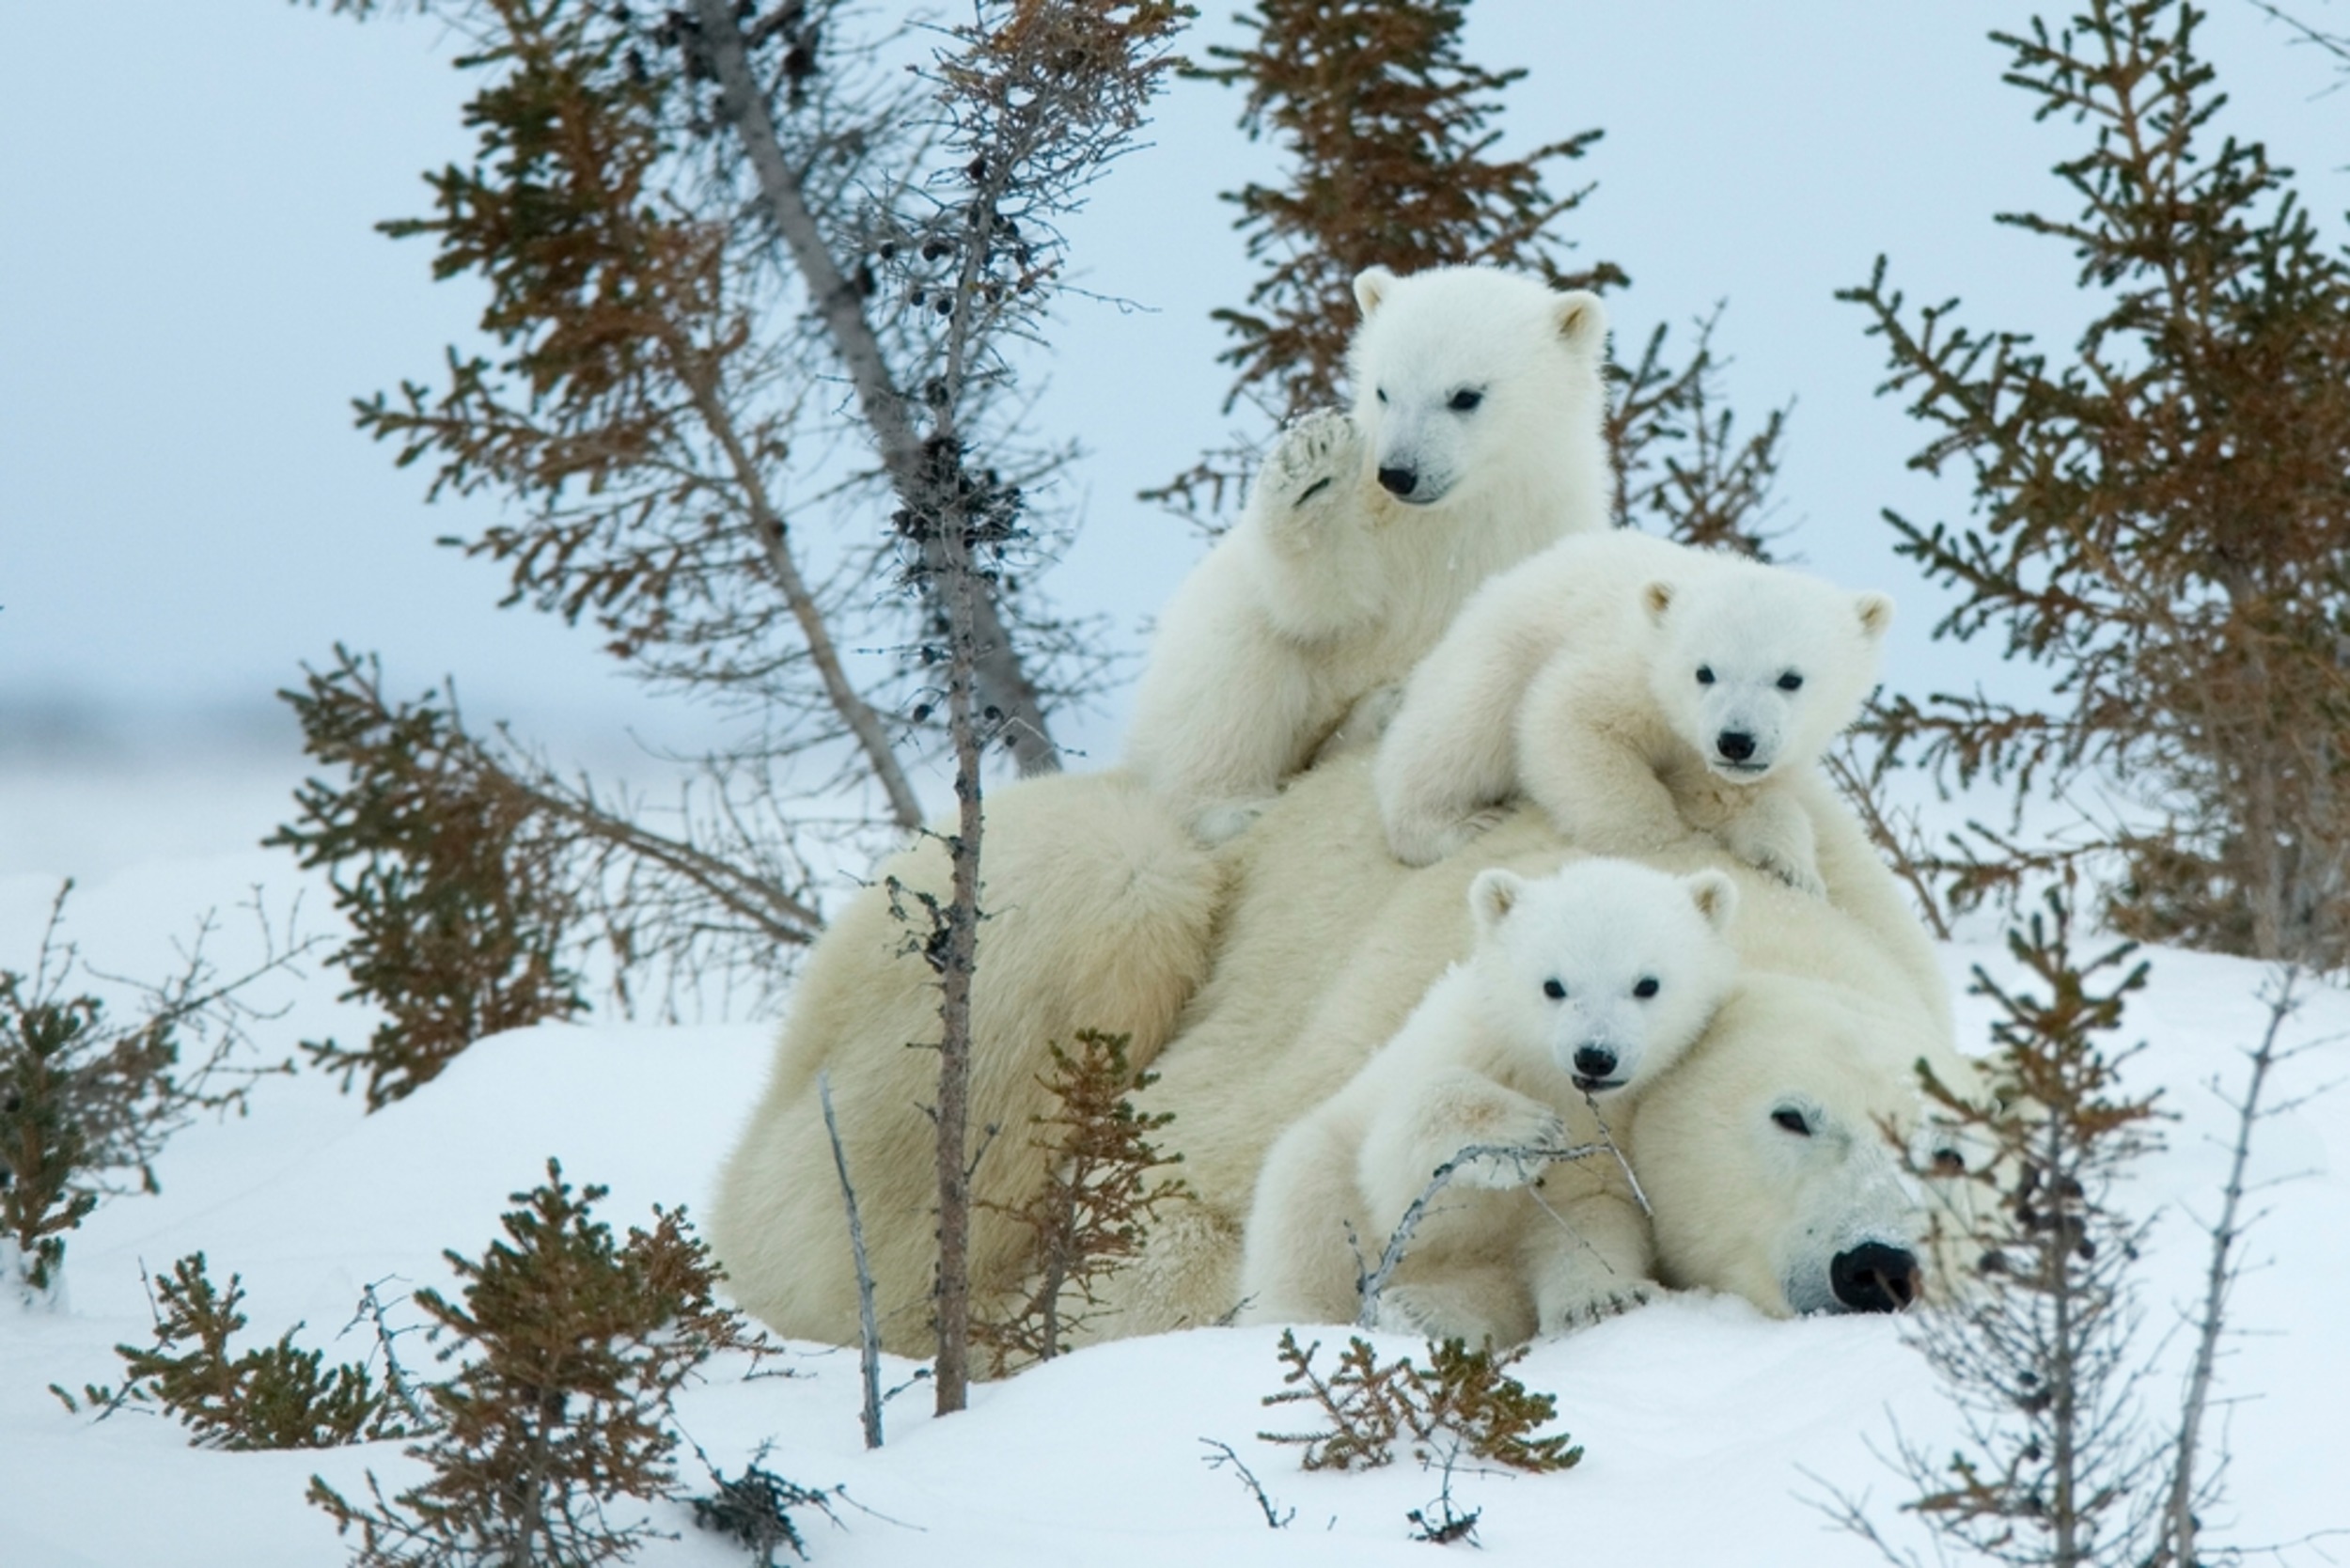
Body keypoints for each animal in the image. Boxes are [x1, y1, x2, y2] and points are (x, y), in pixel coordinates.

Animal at [1123, 263, 1612, 844]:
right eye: (1384, 391)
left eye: (1465, 396)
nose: (1398, 473)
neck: (1458, 515)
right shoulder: (1374, 520)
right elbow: (1325, 605)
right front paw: (1310, 473)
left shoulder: (1542, 531)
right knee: (1232, 667)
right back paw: (1232, 806)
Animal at [1237, 857, 1740, 1346]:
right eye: (1552, 985)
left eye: (1647, 984)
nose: (1595, 1056)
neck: (1552, 1080)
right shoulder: (1467, 1044)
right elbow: (1395, 1169)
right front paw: (1525, 1132)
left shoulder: (1625, 1124)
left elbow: (1589, 1211)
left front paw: (1602, 1301)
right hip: (1320, 1167)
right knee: (1308, 1214)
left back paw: (1426, 1312)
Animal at [1373, 530, 1895, 898]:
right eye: (1703, 671)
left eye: (1790, 678)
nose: (1735, 741)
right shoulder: (1623, 671)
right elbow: (1566, 722)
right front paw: (1663, 846)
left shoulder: (1710, 757)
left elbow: (1737, 796)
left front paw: (1791, 868)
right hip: (1490, 659)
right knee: (1457, 735)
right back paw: (1457, 824)